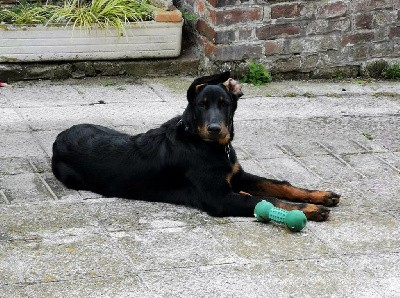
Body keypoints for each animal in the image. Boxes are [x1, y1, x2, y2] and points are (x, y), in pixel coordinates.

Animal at [52, 72, 340, 221]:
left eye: (224, 104)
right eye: (201, 105)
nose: (214, 129)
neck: (206, 145)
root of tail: (59, 138)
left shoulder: (237, 174)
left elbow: (278, 185)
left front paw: (320, 195)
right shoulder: (219, 198)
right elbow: (266, 198)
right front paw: (312, 210)